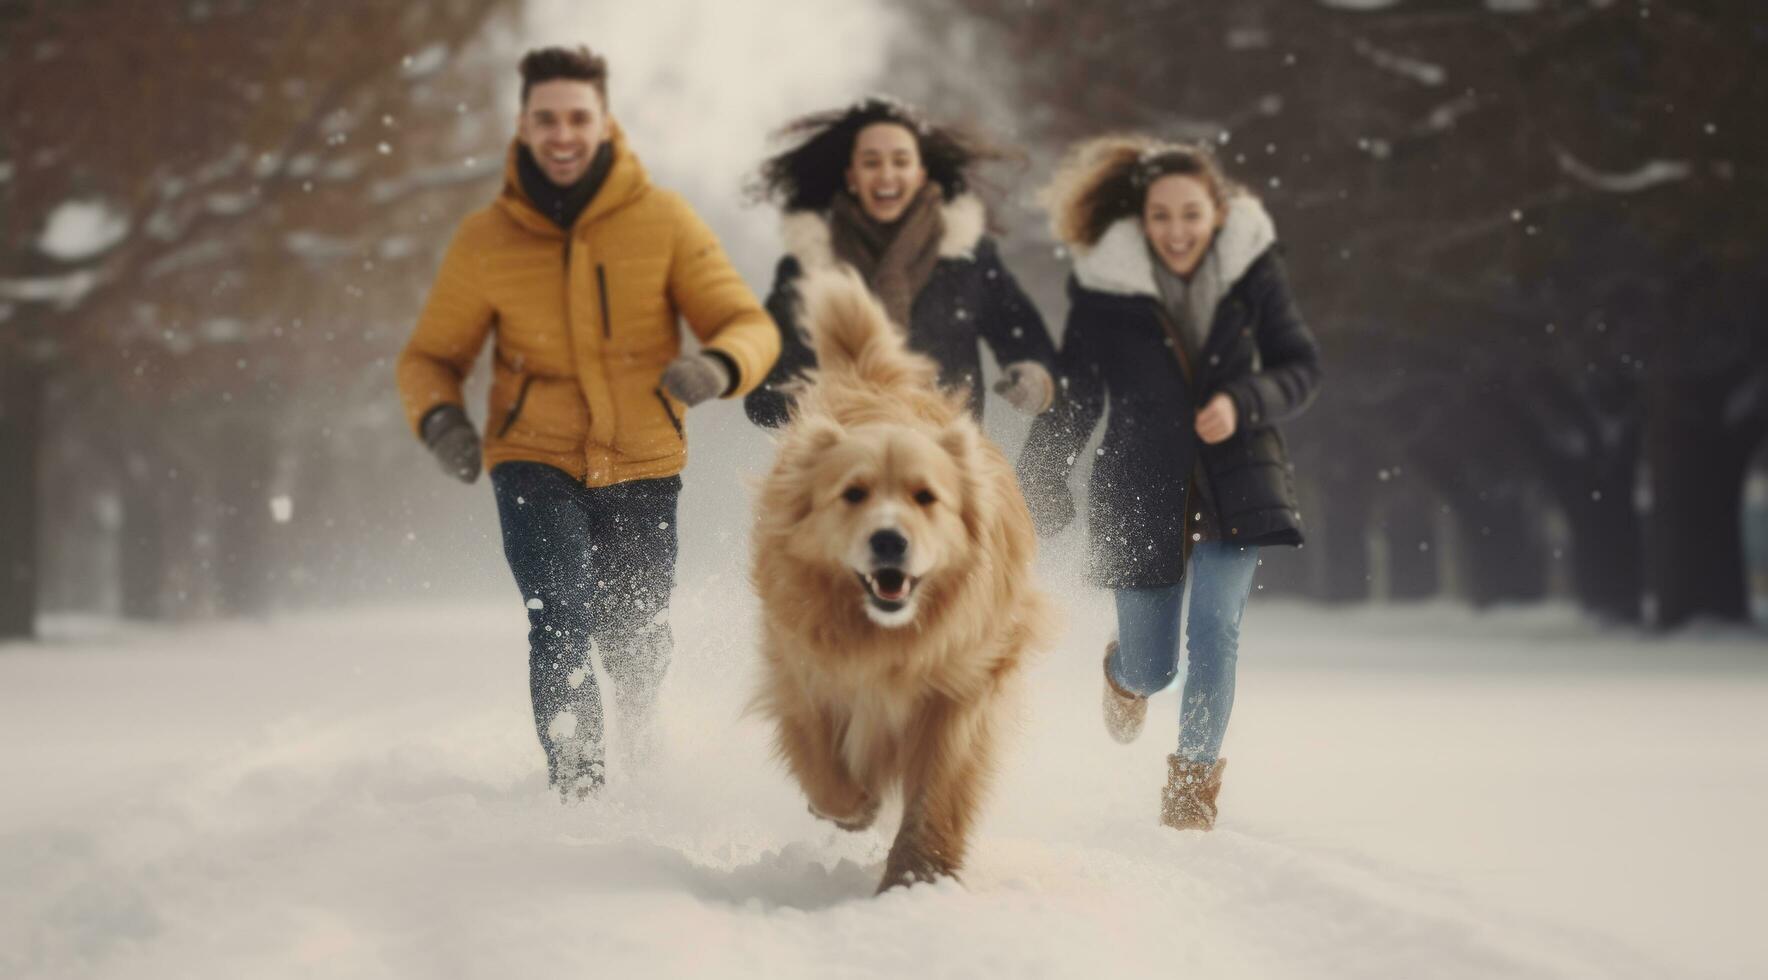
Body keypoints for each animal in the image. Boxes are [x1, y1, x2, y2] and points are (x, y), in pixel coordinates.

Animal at [746, 270, 1046, 888]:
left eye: (926, 496)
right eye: (853, 493)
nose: (889, 540)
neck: (884, 640)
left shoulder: (966, 686)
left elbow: (939, 785)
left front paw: (917, 875)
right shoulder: (803, 669)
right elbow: (817, 755)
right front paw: (850, 806)